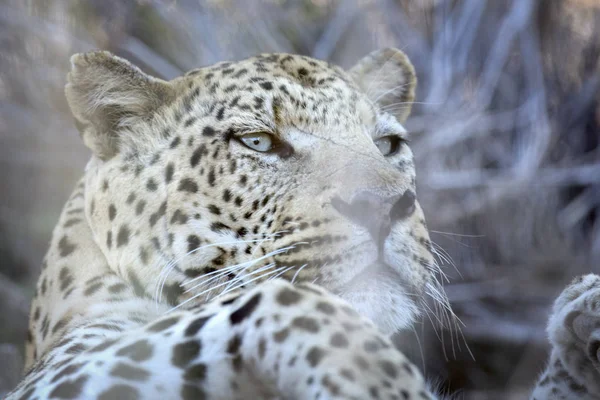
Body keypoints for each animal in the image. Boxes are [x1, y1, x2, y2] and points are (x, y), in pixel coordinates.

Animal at [4, 47, 600, 400]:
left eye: (388, 144)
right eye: (257, 142)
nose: (386, 207)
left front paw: (585, 316)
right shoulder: (71, 369)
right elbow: (284, 297)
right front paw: (380, 380)